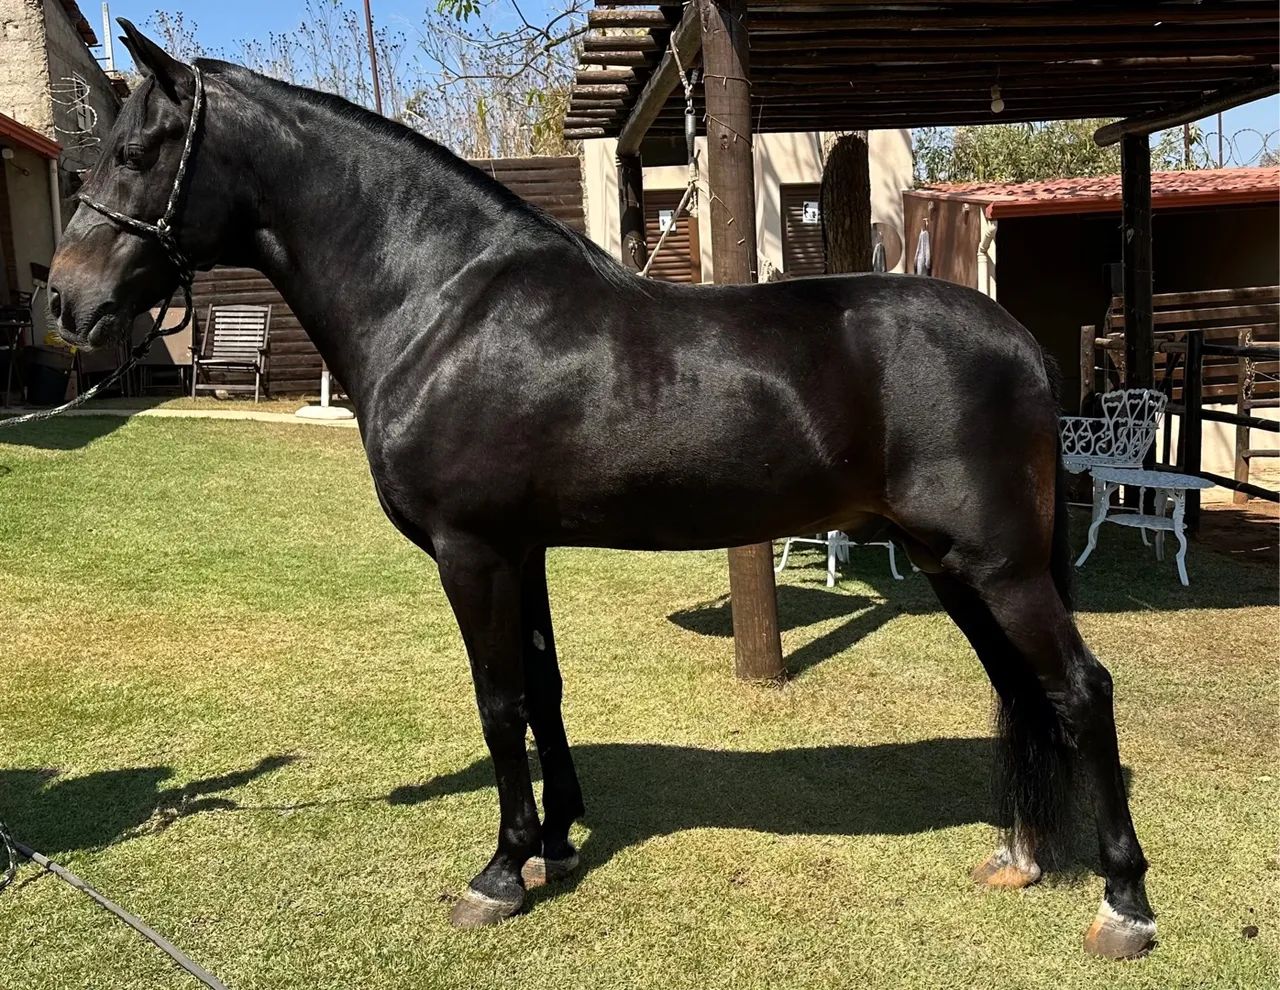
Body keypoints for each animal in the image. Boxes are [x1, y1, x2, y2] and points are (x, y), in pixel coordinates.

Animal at [45, 21, 1155, 959]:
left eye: (138, 154)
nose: (64, 299)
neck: (443, 304)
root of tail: (1017, 342)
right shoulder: (519, 548)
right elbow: (541, 687)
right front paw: (558, 840)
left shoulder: (471, 551)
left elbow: (497, 701)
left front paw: (499, 872)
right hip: (951, 563)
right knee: (1019, 689)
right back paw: (1020, 856)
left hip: (997, 564)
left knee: (1079, 688)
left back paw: (1124, 903)